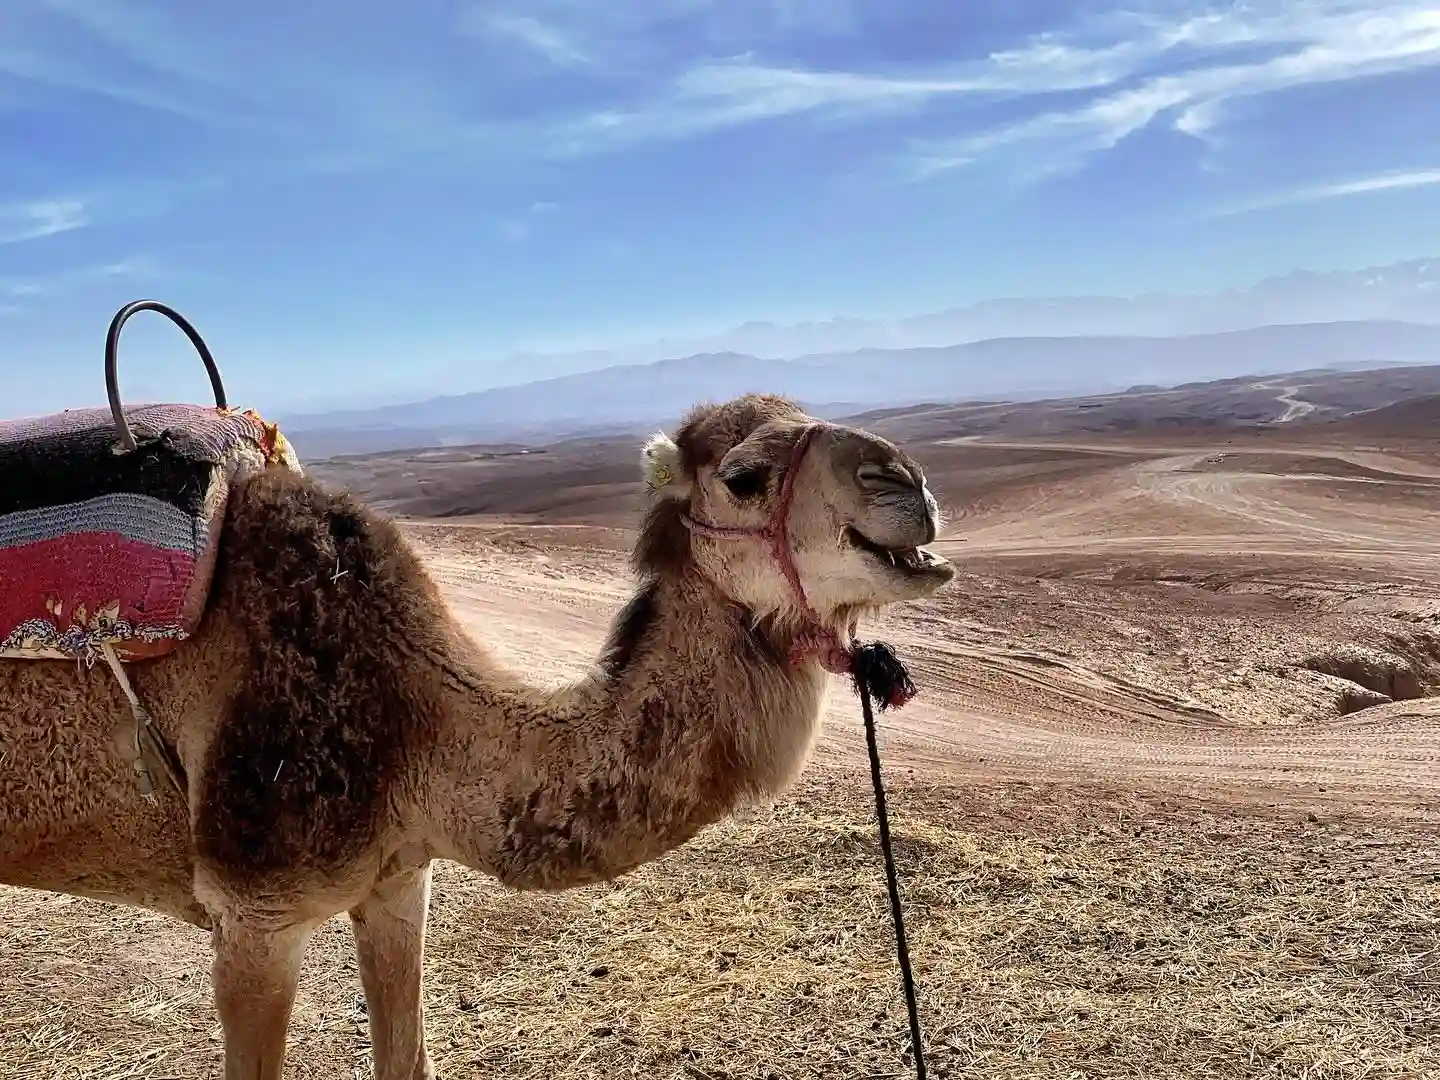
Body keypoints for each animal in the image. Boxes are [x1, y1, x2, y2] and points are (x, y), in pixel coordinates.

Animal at [0, 392, 955, 1080]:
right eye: (745, 476)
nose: (905, 479)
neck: (415, 712)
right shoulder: (252, 916)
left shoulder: (398, 878)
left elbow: (407, 1060)